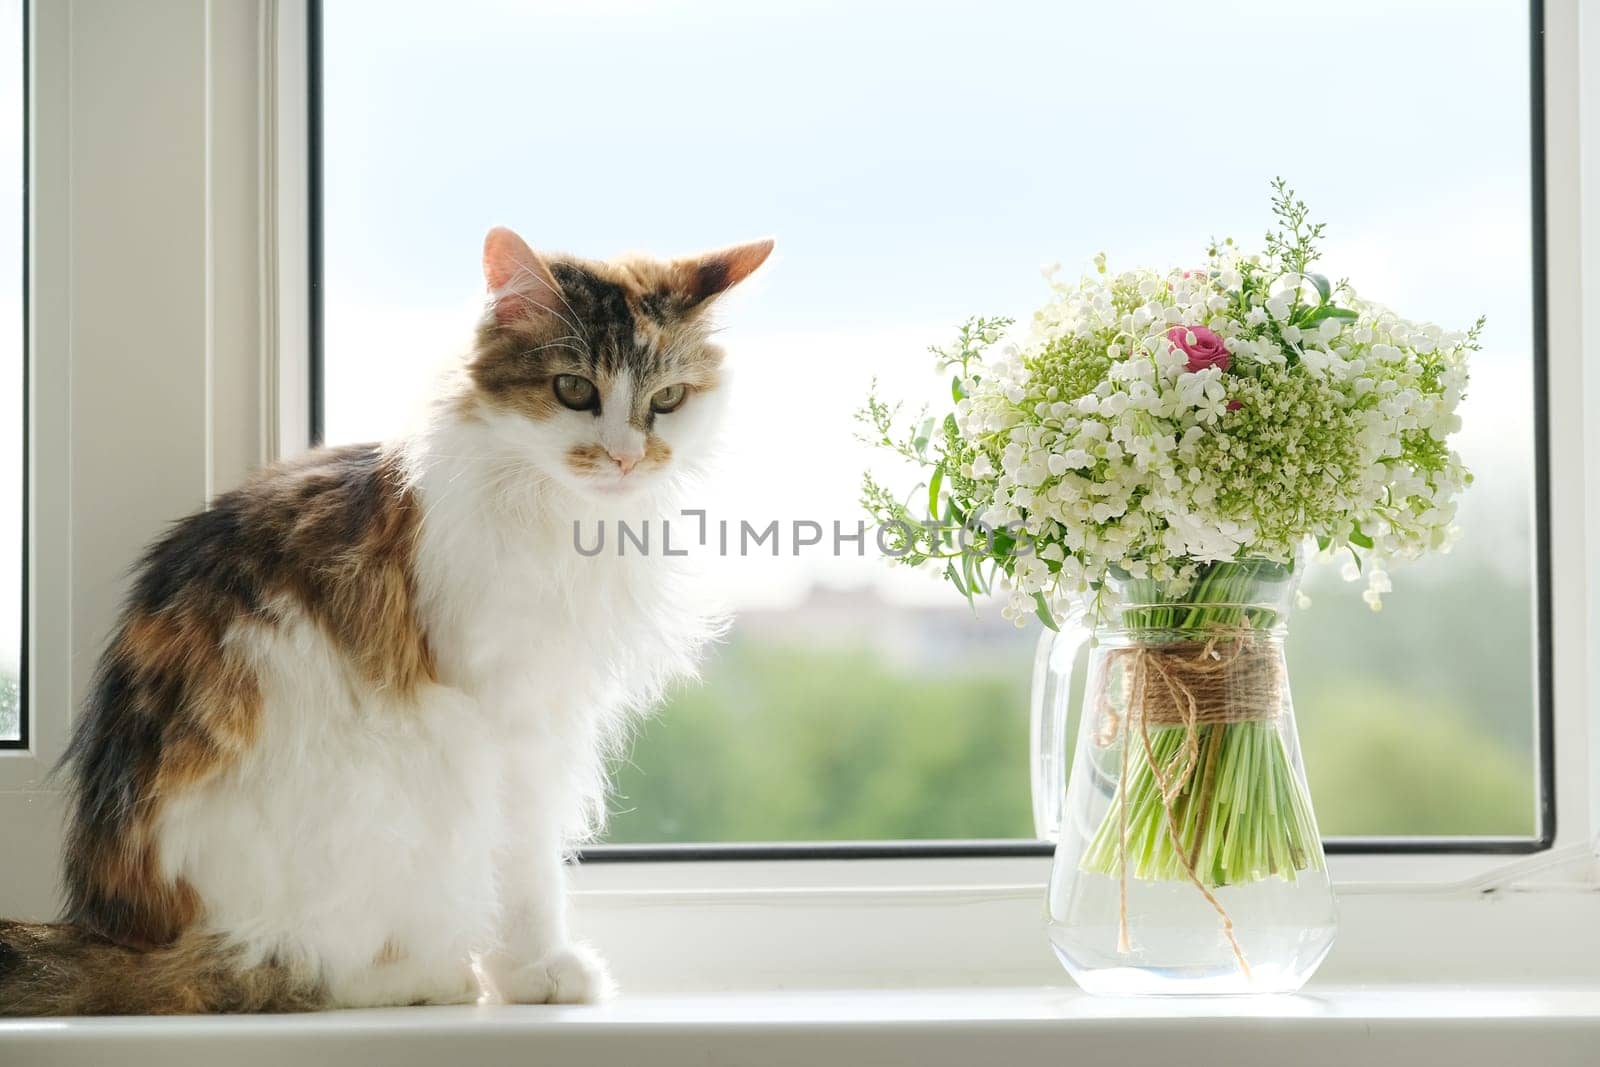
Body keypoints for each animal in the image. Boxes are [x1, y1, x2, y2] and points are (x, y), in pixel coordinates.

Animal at [0, 230, 774, 1017]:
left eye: (667, 399)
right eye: (574, 390)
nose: (624, 457)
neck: (569, 518)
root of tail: (121, 929)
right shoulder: (512, 719)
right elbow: (528, 866)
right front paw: (538, 970)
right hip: (402, 772)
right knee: (296, 970)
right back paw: (438, 978)